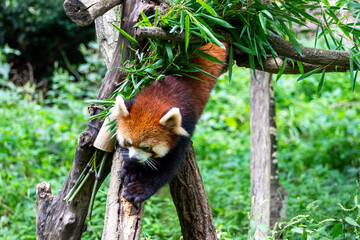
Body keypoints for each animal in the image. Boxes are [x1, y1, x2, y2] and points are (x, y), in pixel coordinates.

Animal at [112, 42, 228, 202]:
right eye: (128, 142)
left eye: (146, 147)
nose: (135, 158)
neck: (162, 95)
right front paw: (131, 168)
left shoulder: (185, 127)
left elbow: (167, 169)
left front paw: (140, 188)